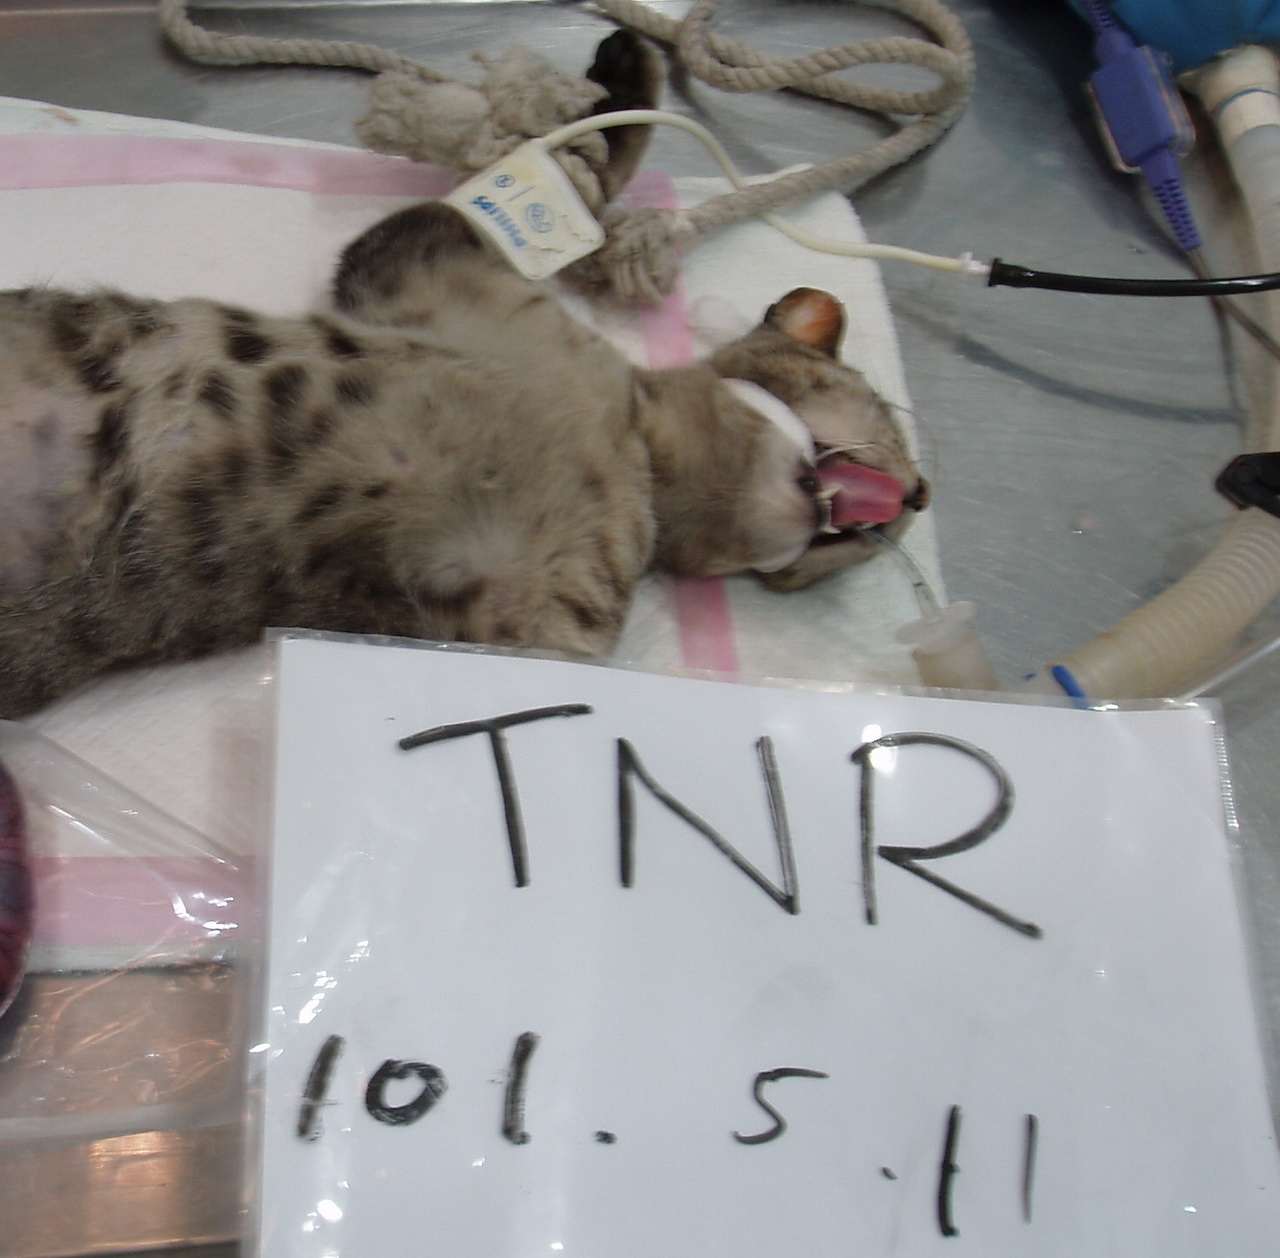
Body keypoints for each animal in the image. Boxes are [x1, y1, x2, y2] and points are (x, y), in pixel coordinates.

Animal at [0, 32, 926, 718]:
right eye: (887, 419)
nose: (918, 496)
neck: (634, 450)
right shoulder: (415, 254)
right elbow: (585, 166)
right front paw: (613, 74)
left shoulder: (533, 631)